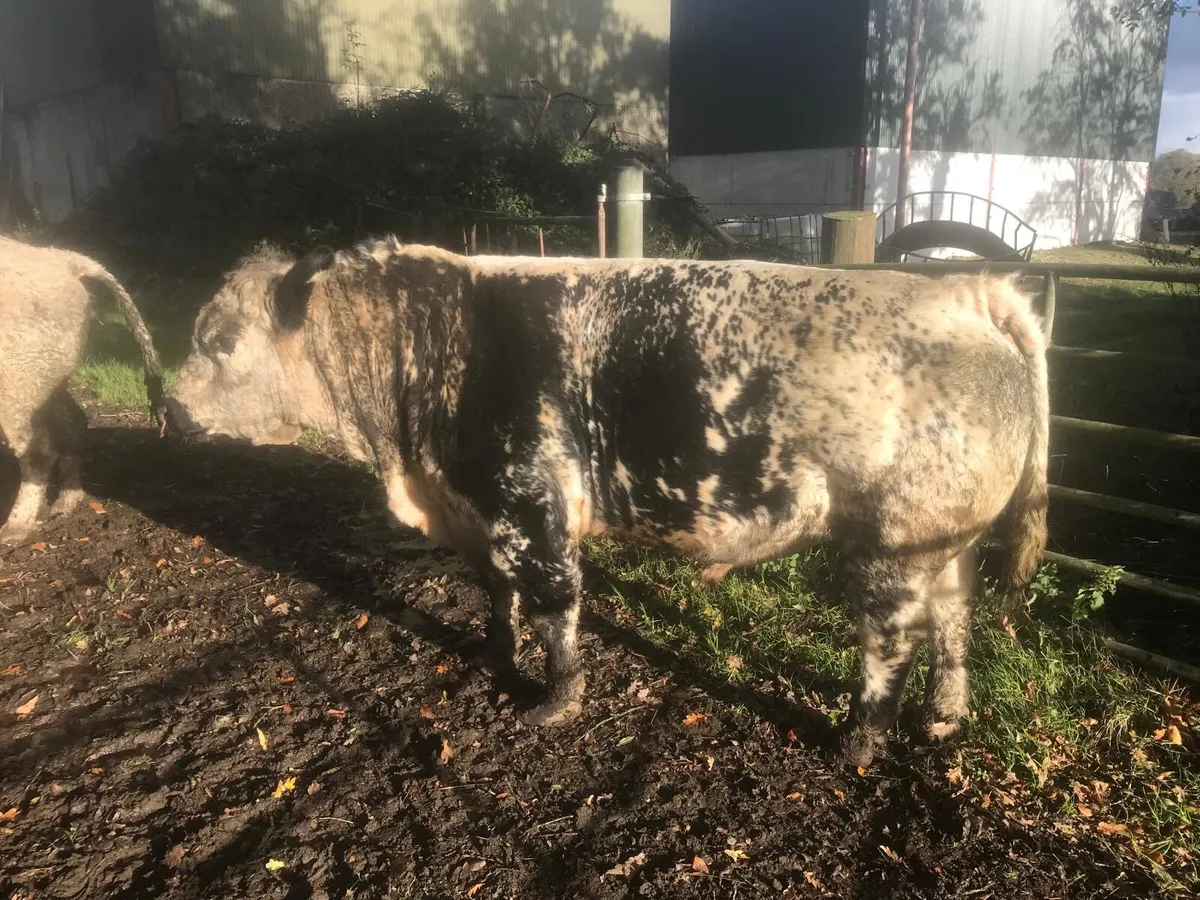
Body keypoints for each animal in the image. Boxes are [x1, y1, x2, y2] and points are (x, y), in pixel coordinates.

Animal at [0, 235, 166, 544]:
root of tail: (64, 259)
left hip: (18, 377)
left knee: (38, 450)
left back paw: (15, 529)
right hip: (46, 377)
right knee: (74, 421)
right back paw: (66, 501)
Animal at [163, 236, 1048, 766]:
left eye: (219, 341)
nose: (168, 408)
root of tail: (966, 292)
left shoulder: (534, 506)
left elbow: (555, 606)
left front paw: (554, 701)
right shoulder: (483, 511)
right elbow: (497, 595)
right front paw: (493, 656)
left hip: (894, 544)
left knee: (890, 641)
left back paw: (859, 745)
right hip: (951, 538)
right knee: (955, 616)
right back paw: (945, 717)